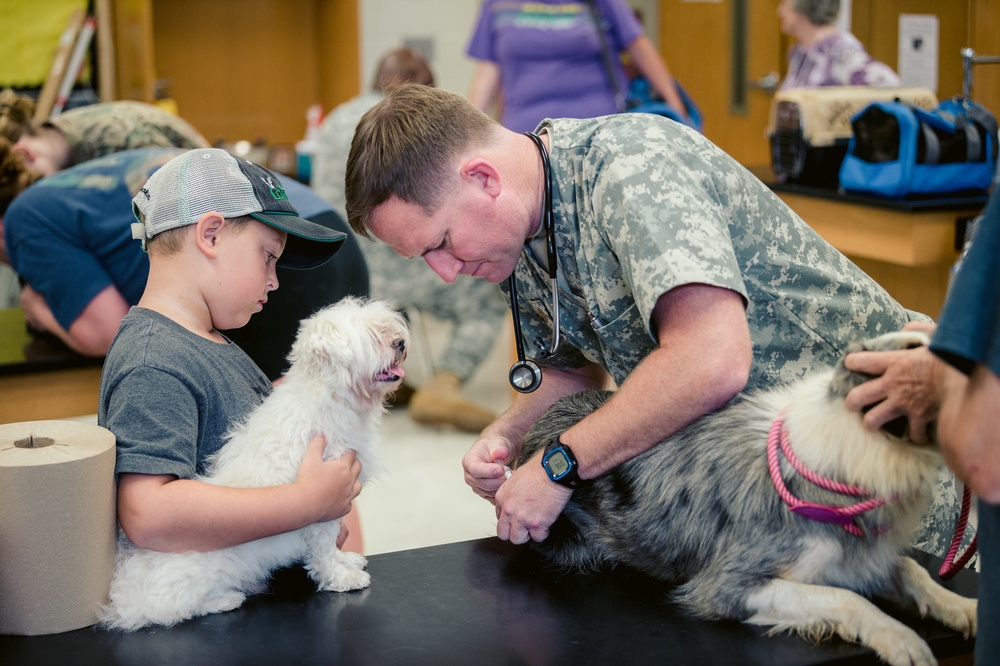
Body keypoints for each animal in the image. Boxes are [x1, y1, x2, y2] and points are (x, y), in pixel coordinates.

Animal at [98, 296, 410, 628]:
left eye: (387, 328)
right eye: (374, 336)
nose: (400, 342)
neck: (330, 400)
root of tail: (125, 589)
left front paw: (346, 559)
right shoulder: (324, 506)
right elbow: (323, 549)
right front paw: (341, 577)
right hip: (200, 568)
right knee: (163, 609)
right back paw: (224, 599)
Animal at [516, 332, 976, 664]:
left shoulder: (862, 555)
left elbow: (910, 570)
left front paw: (959, 605)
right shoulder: (726, 585)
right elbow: (846, 598)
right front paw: (900, 638)